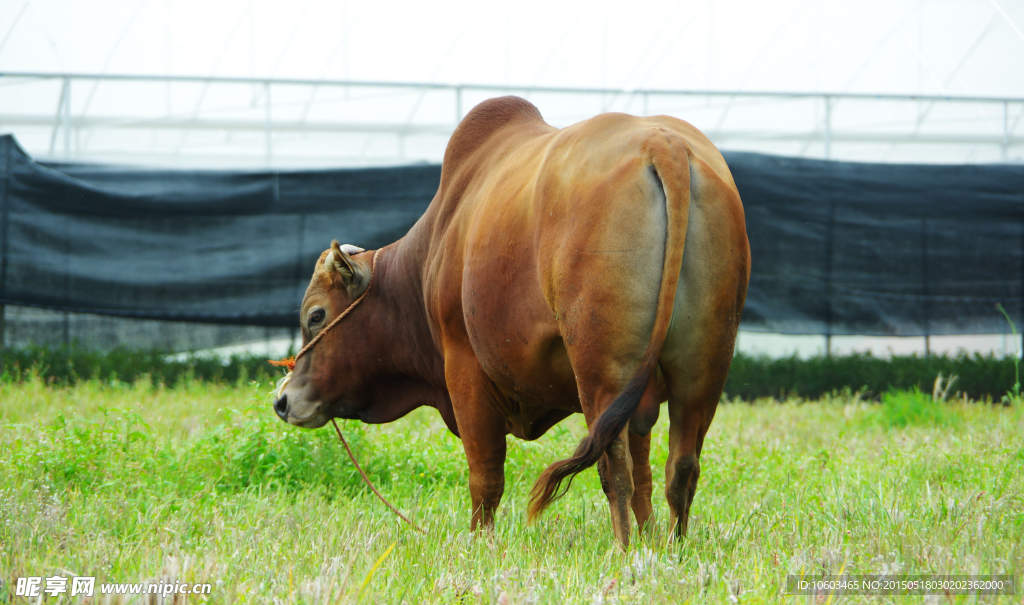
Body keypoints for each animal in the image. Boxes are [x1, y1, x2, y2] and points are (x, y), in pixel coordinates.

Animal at [272, 95, 753, 548]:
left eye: (316, 315)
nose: (283, 400)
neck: (429, 256)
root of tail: (663, 143)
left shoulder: (464, 371)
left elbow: (485, 478)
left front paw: (479, 544)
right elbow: (646, 477)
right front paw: (650, 539)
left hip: (601, 370)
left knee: (612, 463)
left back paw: (621, 550)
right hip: (701, 370)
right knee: (680, 466)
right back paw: (673, 548)